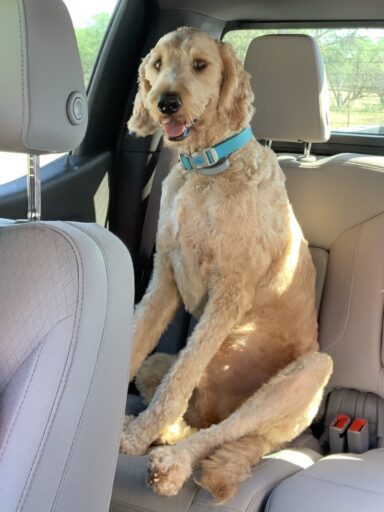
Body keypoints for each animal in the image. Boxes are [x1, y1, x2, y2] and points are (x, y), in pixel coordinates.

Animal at [121, 26, 332, 502]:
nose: (166, 102)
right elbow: (136, 341)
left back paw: (172, 462)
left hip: (309, 372)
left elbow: (181, 378)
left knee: (225, 431)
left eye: (200, 64)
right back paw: (170, 434)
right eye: (157, 64)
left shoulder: (230, 291)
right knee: (191, 412)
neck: (207, 167)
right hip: (162, 370)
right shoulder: (165, 276)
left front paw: (138, 436)